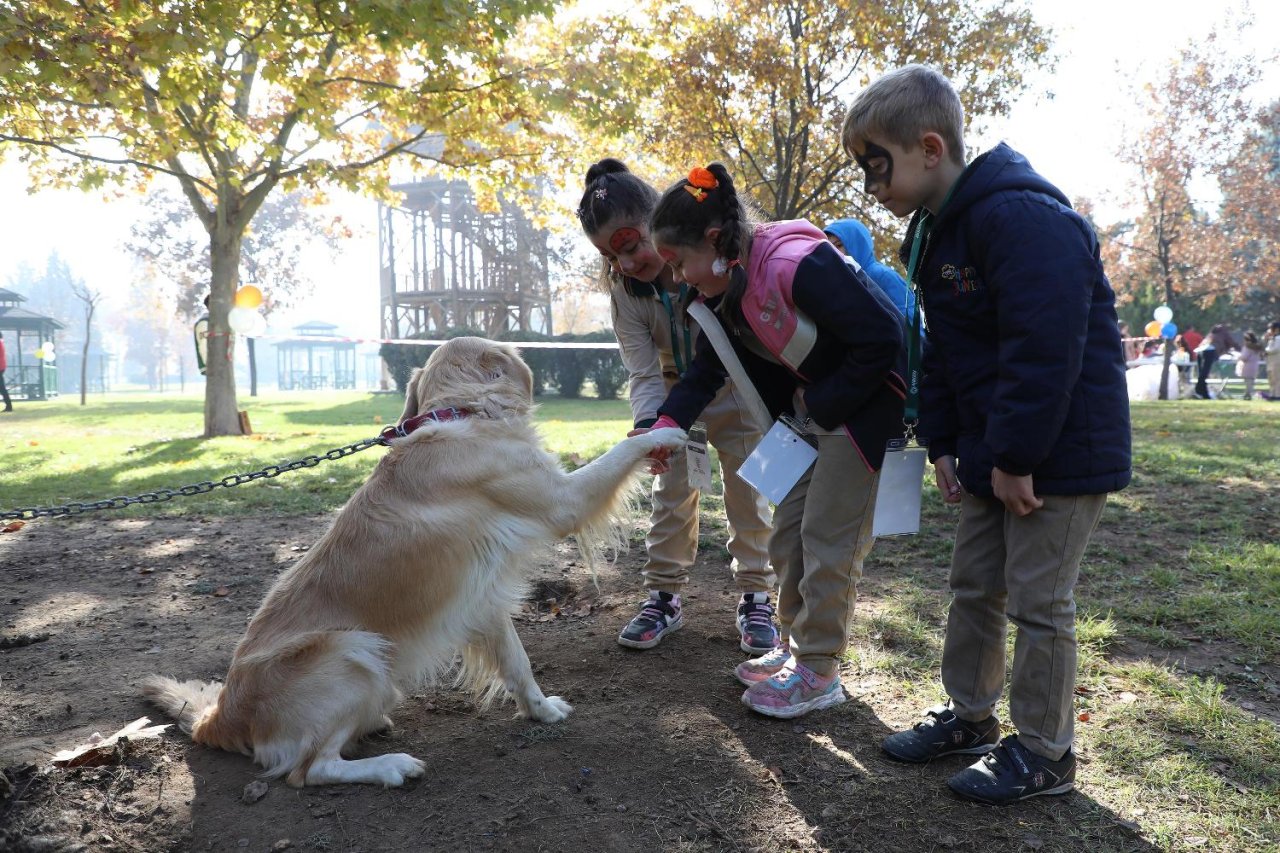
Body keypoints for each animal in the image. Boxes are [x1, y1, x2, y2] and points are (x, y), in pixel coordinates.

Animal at [144, 338, 686, 783]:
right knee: (310, 770)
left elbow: (518, 663)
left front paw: (542, 711)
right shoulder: (564, 501)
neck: (457, 414)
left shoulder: (483, 599)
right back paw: (391, 766)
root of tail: (221, 715)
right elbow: (619, 452)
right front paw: (663, 434)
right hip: (353, 649)